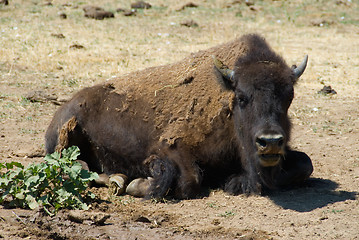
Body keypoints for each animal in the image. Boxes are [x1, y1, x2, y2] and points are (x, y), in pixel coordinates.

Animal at [45, 33, 316, 199]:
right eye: (241, 97)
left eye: (289, 96)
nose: (270, 142)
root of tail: (66, 106)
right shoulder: (171, 147)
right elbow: (189, 179)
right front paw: (140, 184)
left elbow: (306, 164)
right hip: (63, 144)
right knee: (76, 167)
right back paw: (120, 181)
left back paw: (118, 178)